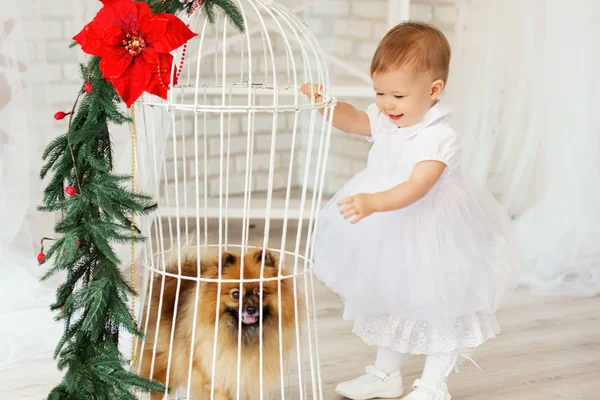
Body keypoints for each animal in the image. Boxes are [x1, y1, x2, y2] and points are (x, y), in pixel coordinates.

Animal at [138, 247, 302, 400]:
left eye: (260, 293)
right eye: (236, 295)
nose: (251, 310)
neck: (241, 337)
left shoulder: (245, 380)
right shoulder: (218, 379)